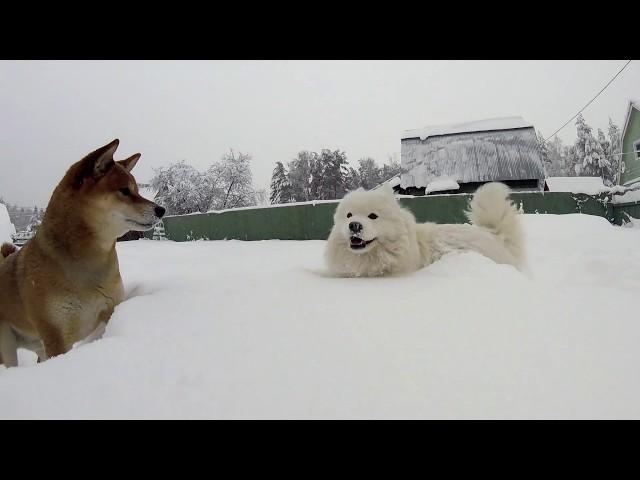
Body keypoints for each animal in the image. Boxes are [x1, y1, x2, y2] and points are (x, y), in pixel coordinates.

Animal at [0, 139, 165, 368]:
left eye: (138, 191)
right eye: (125, 190)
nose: (161, 210)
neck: (90, 266)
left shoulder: (111, 309)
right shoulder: (56, 335)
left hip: (38, 346)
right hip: (7, 345)